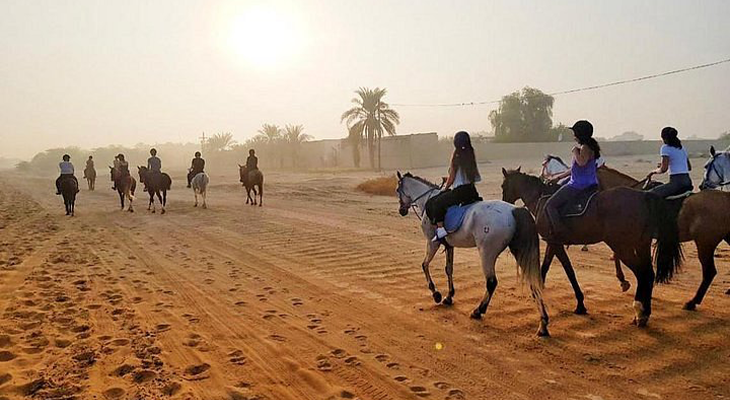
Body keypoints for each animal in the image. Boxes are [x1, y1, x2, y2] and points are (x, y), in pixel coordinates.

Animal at [396, 172, 548, 338]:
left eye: (398, 190)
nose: (401, 210)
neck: (427, 198)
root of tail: (515, 211)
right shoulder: (449, 246)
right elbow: (448, 269)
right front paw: (449, 296)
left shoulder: (432, 243)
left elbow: (424, 265)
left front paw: (436, 294)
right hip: (520, 251)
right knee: (533, 282)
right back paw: (543, 324)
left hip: (487, 252)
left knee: (491, 282)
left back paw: (478, 310)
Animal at [498, 167, 680, 326]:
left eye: (503, 186)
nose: (505, 204)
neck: (542, 199)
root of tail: (643, 197)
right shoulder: (554, 242)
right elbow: (550, 267)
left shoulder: (555, 243)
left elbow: (566, 271)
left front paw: (577, 303)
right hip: (641, 244)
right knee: (648, 273)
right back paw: (643, 313)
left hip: (622, 244)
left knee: (642, 274)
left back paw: (640, 312)